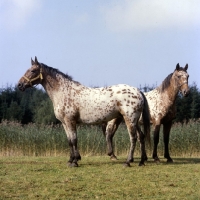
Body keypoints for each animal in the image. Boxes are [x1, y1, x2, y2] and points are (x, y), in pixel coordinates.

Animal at [18, 56, 150, 167]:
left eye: (33, 71)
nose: (19, 85)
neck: (63, 92)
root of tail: (138, 91)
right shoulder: (64, 123)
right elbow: (69, 141)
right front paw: (71, 160)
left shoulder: (70, 121)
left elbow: (74, 140)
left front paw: (75, 161)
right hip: (135, 121)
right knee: (141, 137)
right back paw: (142, 161)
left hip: (129, 119)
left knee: (133, 138)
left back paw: (128, 162)